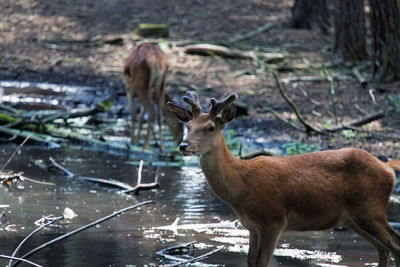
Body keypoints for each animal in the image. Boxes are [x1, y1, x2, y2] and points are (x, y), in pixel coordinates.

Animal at [167, 91, 400, 266]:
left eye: (211, 127)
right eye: (188, 126)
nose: (184, 145)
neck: (241, 186)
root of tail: (388, 169)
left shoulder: (274, 220)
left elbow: (262, 262)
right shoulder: (251, 226)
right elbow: (251, 261)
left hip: (370, 209)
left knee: (394, 245)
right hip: (353, 217)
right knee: (384, 247)